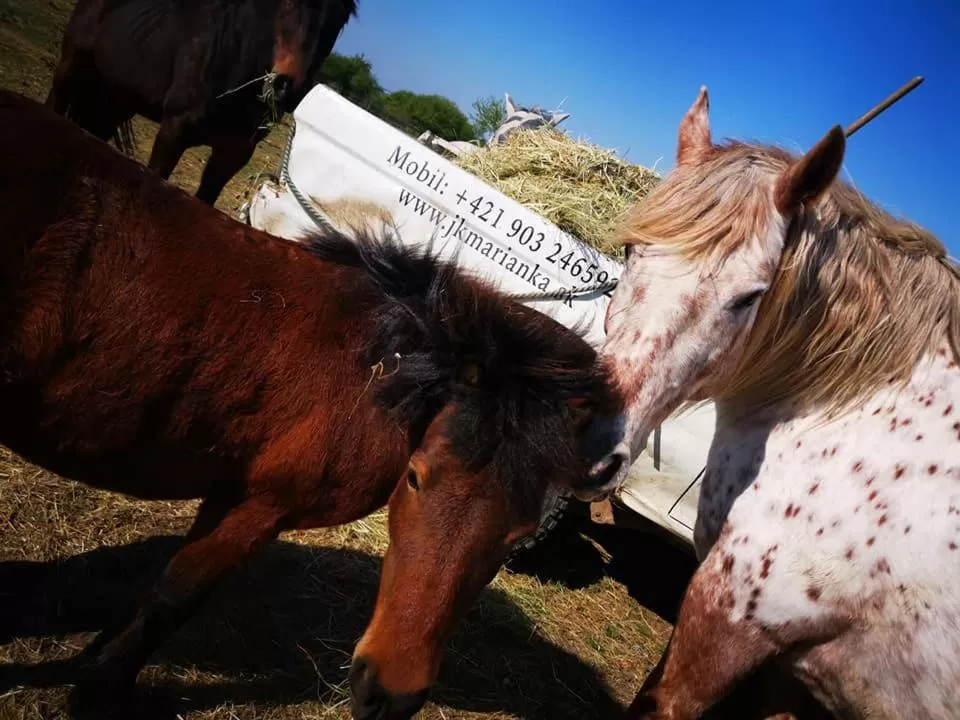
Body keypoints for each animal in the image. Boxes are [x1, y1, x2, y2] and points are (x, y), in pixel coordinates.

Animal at [0, 89, 625, 719]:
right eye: (416, 479)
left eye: (520, 535)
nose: (390, 697)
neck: (376, 372)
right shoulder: (261, 505)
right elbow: (173, 598)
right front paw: (96, 692)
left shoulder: (231, 491)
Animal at [46, 0, 357, 206]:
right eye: (290, 2)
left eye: (342, 17)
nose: (287, 87)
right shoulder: (173, 132)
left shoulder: (234, 154)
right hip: (71, 67)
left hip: (117, 98)